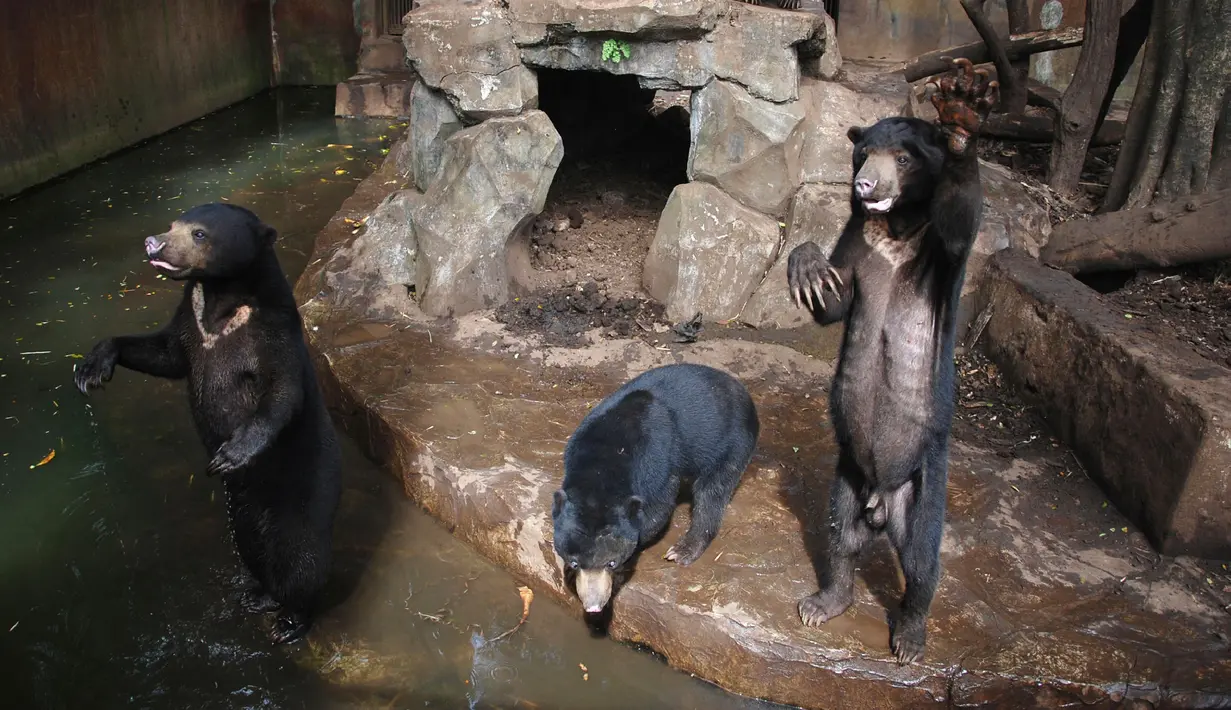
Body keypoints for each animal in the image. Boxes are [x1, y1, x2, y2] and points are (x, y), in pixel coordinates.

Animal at [74, 201, 344, 644]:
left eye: (199, 233)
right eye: (172, 223)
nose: (153, 242)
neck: (221, 304)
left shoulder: (271, 332)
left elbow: (283, 392)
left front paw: (229, 454)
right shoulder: (190, 322)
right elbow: (164, 353)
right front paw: (91, 368)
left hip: (305, 494)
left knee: (301, 559)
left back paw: (292, 619)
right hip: (246, 513)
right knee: (255, 548)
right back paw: (258, 594)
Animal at [551, 361, 758, 612]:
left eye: (611, 562)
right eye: (574, 561)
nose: (594, 606)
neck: (602, 463)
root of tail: (740, 388)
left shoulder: (656, 464)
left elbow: (658, 510)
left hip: (732, 443)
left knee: (712, 493)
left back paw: (683, 550)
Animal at [787, 60, 999, 664]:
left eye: (903, 158)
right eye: (863, 154)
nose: (865, 185)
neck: (897, 227)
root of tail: (882, 500)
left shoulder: (939, 256)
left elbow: (960, 216)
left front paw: (963, 113)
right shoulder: (858, 238)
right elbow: (835, 301)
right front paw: (808, 268)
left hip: (923, 477)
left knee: (924, 559)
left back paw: (909, 635)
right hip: (848, 472)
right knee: (838, 534)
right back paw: (824, 601)